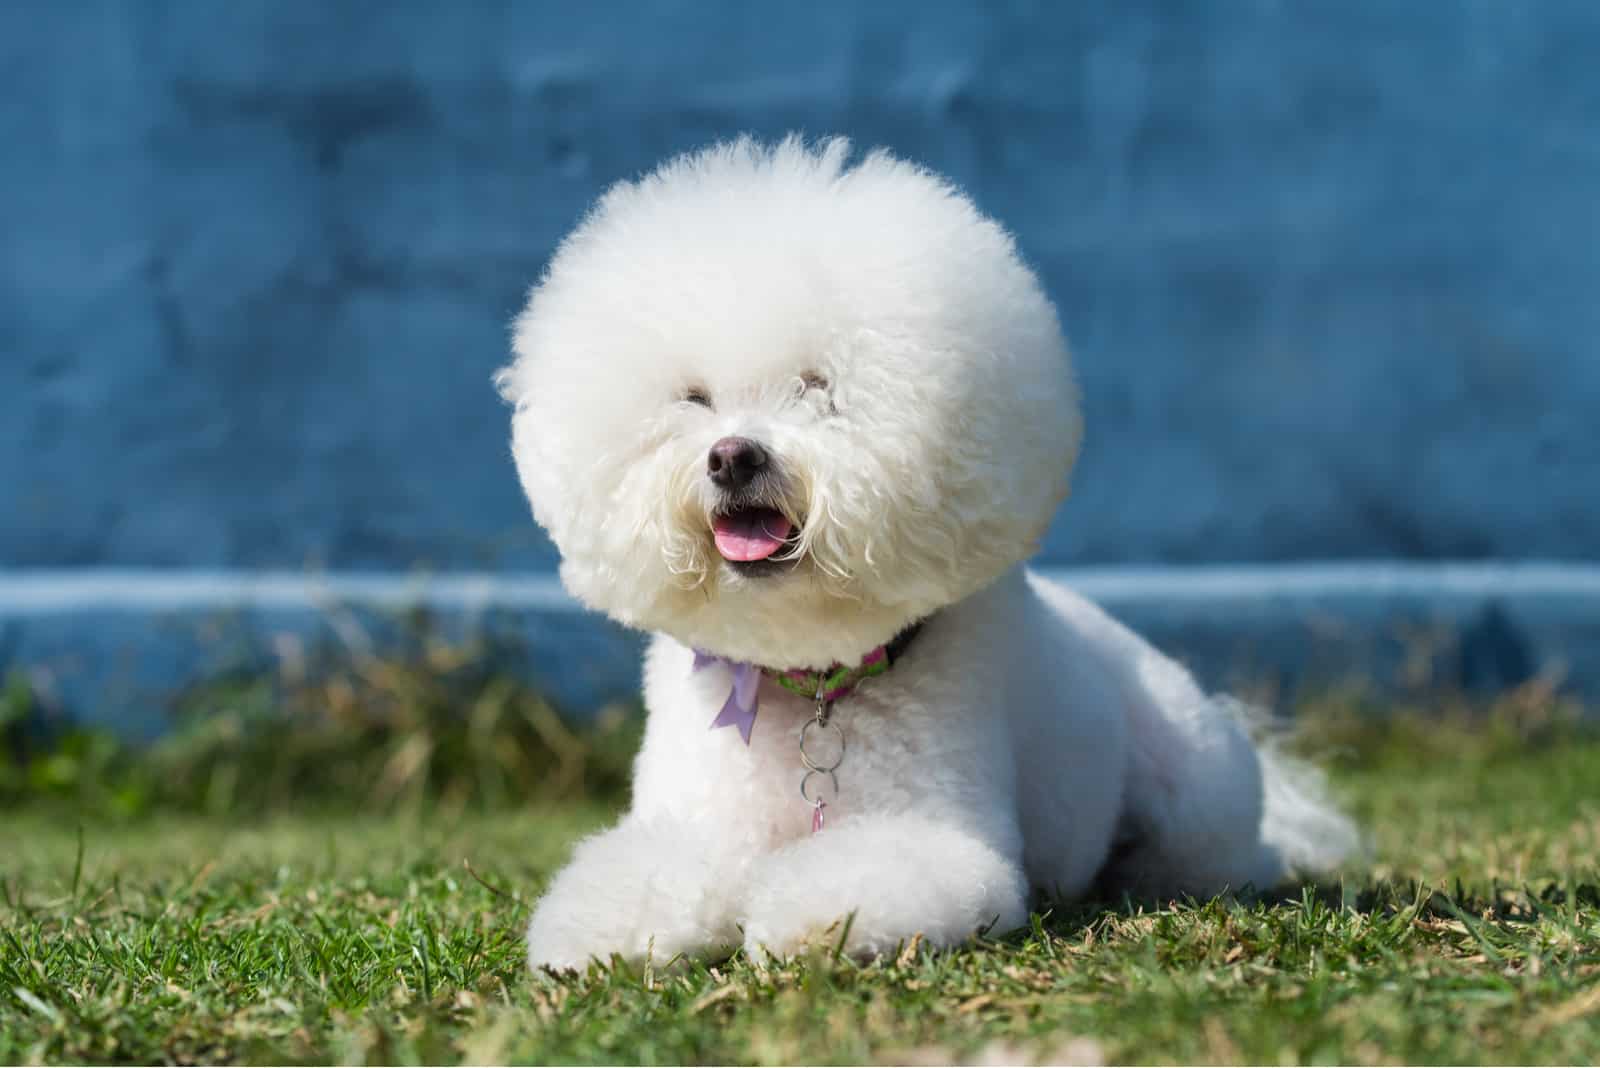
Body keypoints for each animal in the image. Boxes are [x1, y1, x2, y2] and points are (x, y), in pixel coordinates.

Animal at [496, 135, 1350, 965]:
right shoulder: (697, 821)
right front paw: (599, 934)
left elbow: (879, 873)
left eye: (819, 387)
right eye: (694, 399)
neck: (811, 685)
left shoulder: (941, 833)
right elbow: (652, 874)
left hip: (1197, 792)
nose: (733, 457)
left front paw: (809, 924)